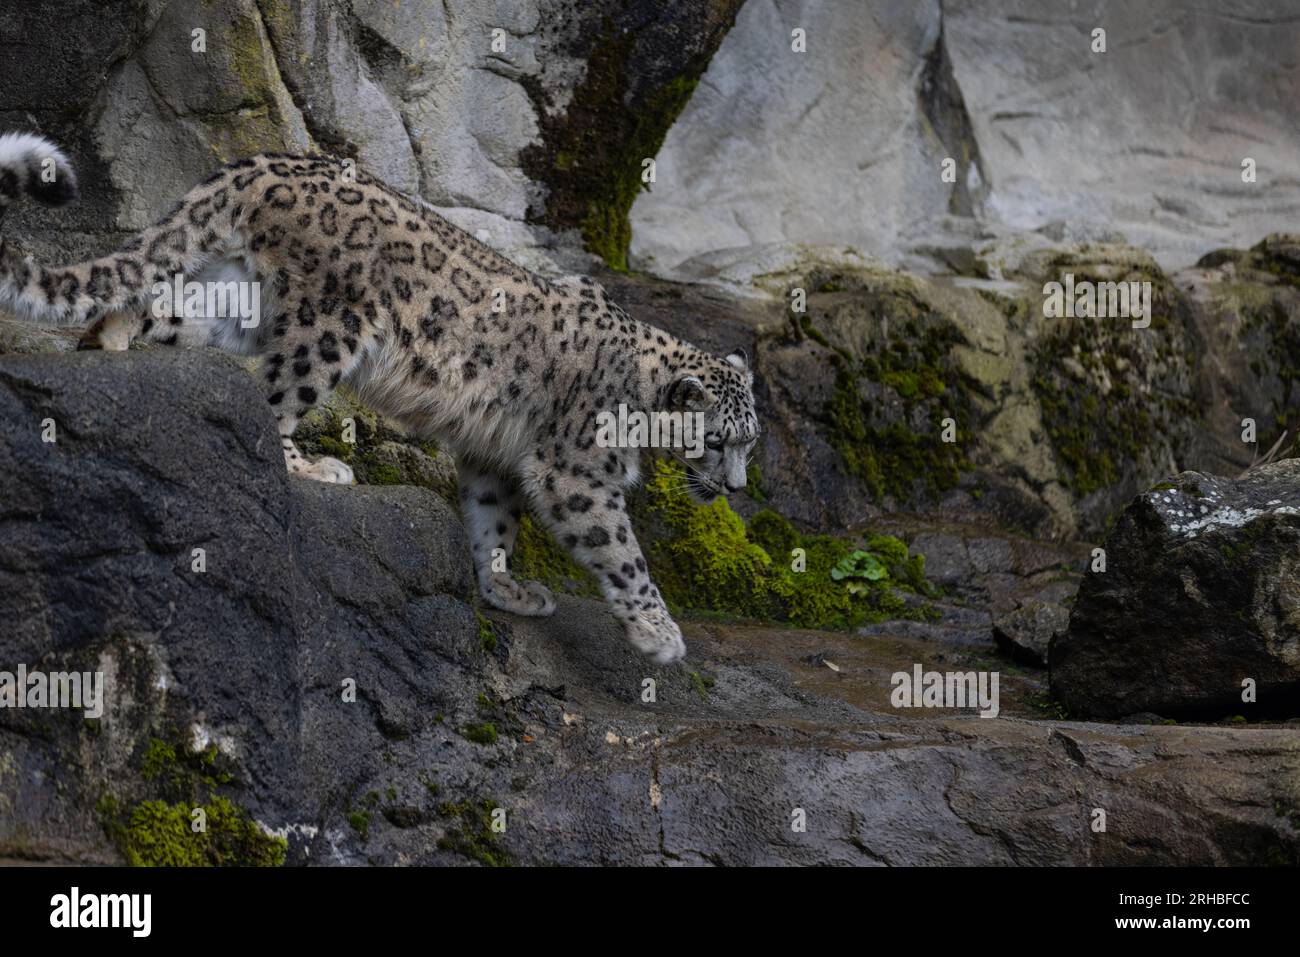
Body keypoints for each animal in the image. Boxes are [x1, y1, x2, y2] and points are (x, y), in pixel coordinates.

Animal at [0, 131, 759, 665]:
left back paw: (108, 341)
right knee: (274, 394)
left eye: (751, 443)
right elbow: (622, 551)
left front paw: (506, 589)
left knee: (163, 301)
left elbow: (494, 524)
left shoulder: (495, 457)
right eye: (717, 440)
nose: (736, 488)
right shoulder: (578, 472)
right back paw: (313, 466)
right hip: (328, 327)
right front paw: (659, 632)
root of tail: (266, 164)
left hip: (234, 299)